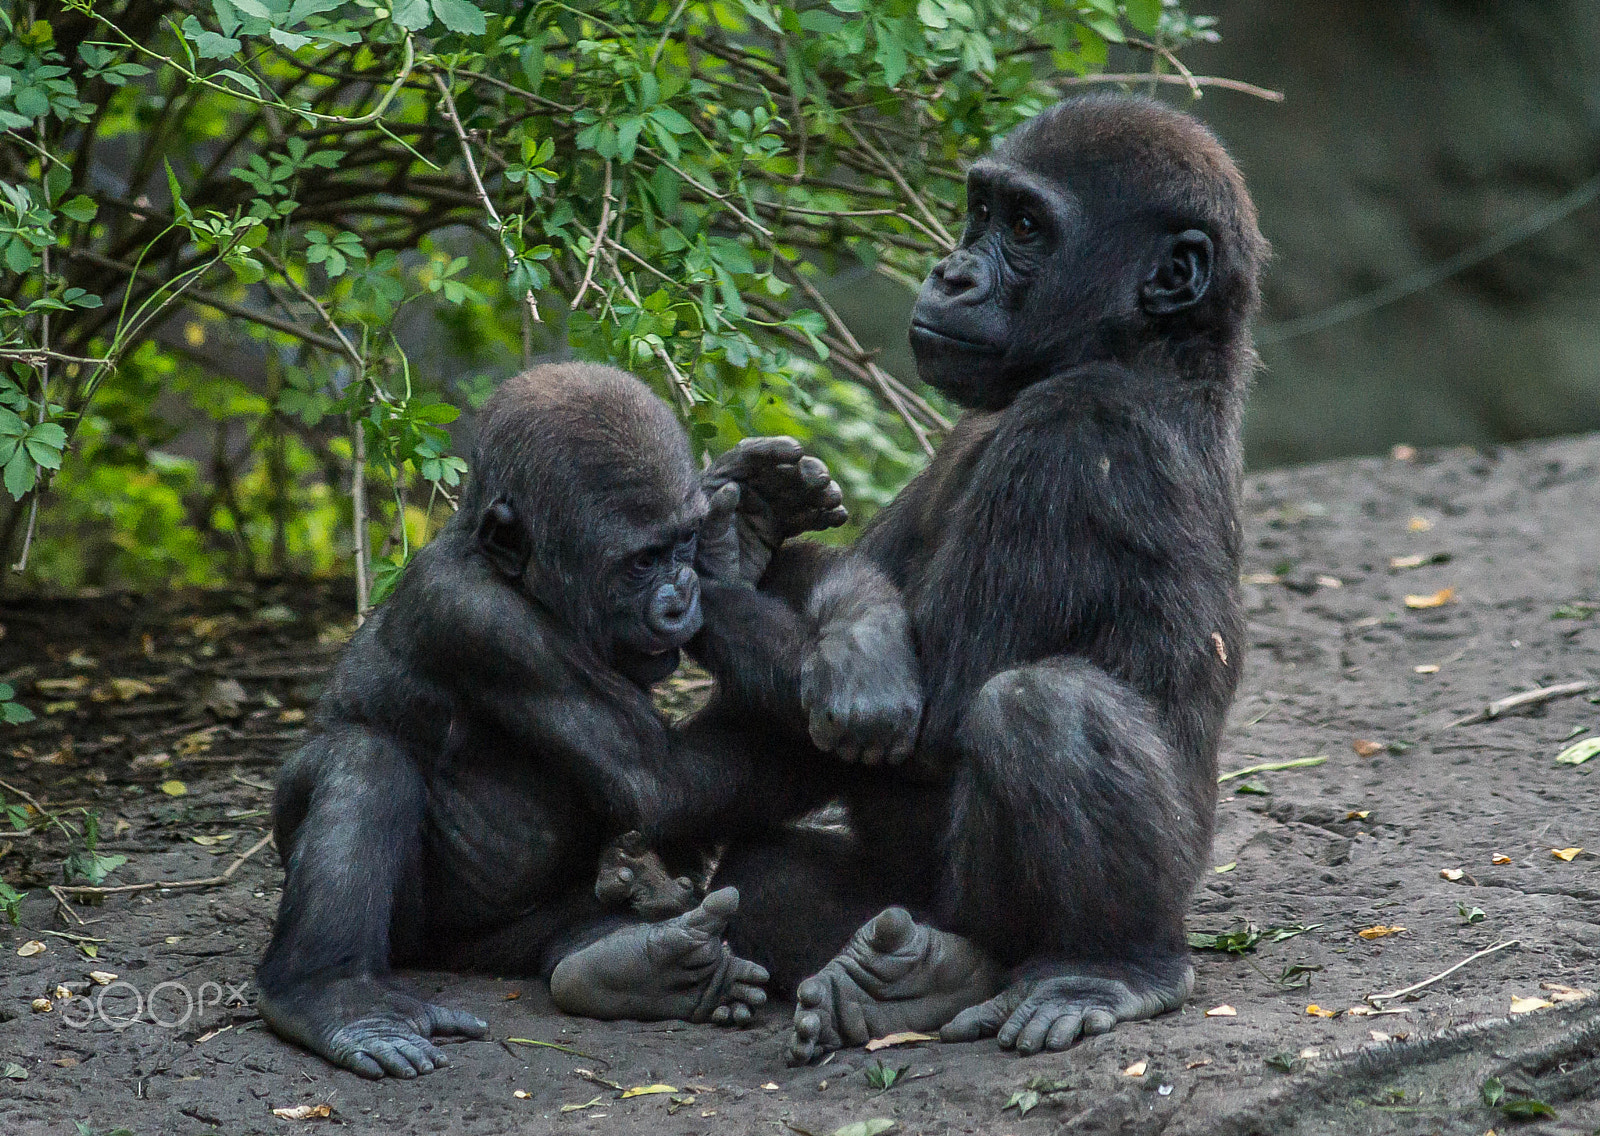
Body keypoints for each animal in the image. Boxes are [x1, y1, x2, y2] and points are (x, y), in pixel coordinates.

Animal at [257, 364, 857, 1075]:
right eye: (641, 562)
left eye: (682, 543)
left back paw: (647, 963)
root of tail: (452, 956)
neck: (519, 578)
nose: (681, 600)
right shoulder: (481, 621)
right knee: (362, 761)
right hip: (406, 931)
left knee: (572, 926)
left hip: (505, 940)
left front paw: (744, 527)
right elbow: (658, 780)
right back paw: (330, 994)